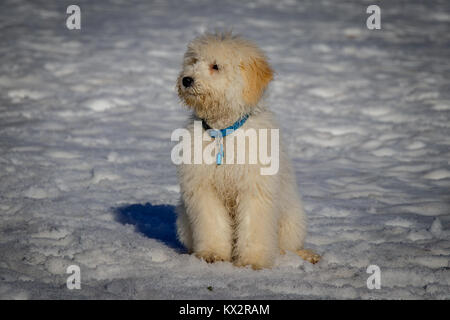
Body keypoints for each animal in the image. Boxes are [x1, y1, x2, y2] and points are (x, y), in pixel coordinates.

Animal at [176, 31, 320, 270]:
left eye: (216, 66)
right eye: (193, 61)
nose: (186, 79)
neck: (223, 133)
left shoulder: (254, 188)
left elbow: (254, 226)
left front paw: (253, 261)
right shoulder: (204, 189)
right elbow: (213, 224)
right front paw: (212, 254)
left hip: (292, 220)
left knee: (288, 247)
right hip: (183, 220)